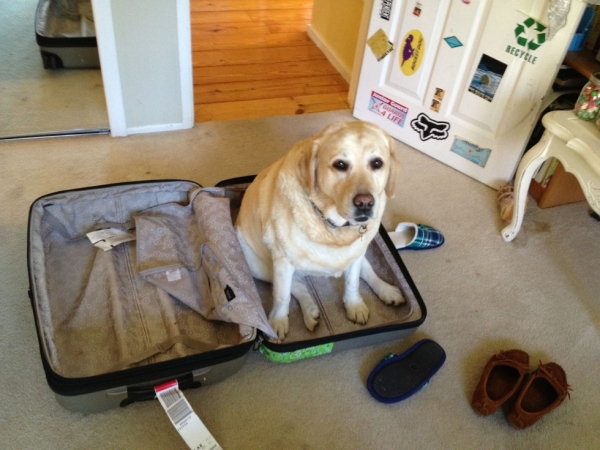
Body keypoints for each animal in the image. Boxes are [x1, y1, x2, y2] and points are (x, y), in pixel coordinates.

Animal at [234, 121, 404, 340]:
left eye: (377, 163)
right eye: (340, 165)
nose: (365, 203)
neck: (332, 225)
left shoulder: (356, 253)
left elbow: (353, 283)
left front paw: (354, 305)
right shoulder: (282, 260)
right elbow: (281, 296)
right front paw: (278, 321)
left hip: (358, 252)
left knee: (366, 270)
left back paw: (387, 290)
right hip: (256, 264)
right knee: (296, 285)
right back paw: (310, 310)